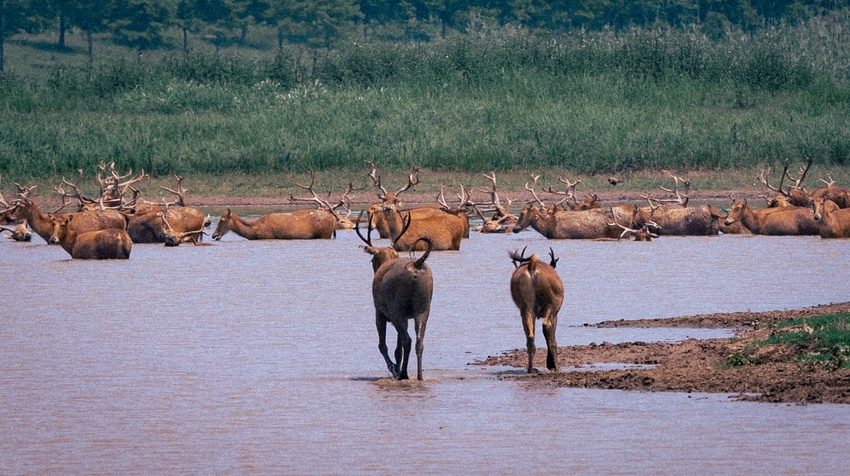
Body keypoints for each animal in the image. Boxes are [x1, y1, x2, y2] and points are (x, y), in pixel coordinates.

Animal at [356, 211, 434, 381]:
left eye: (372, 259)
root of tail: (417, 264)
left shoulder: (380, 312)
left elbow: (382, 345)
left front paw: (393, 368)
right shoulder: (406, 317)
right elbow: (397, 350)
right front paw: (396, 366)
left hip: (396, 309)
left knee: (407, 340)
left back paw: (403, 374)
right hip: (423, 309)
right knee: (419, 341)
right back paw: (419, 376)